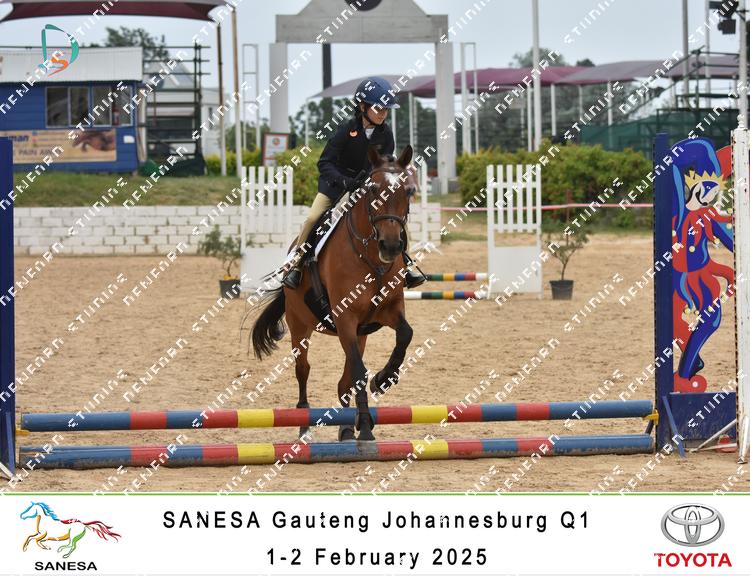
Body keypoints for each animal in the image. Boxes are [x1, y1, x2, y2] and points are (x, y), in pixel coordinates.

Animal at [250, 145, 417, 442]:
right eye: (373, 189)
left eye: (408, 191)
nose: (390, 246)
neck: (370, 257)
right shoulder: (345, 318)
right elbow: (360, 373)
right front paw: (366, 428)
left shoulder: (390, 310)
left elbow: (405, 335)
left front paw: (383, 379)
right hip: (300, 326)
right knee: (303, 370)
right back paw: (305, 427)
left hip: (360, 334)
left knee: (344, 380)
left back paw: (347, 428)